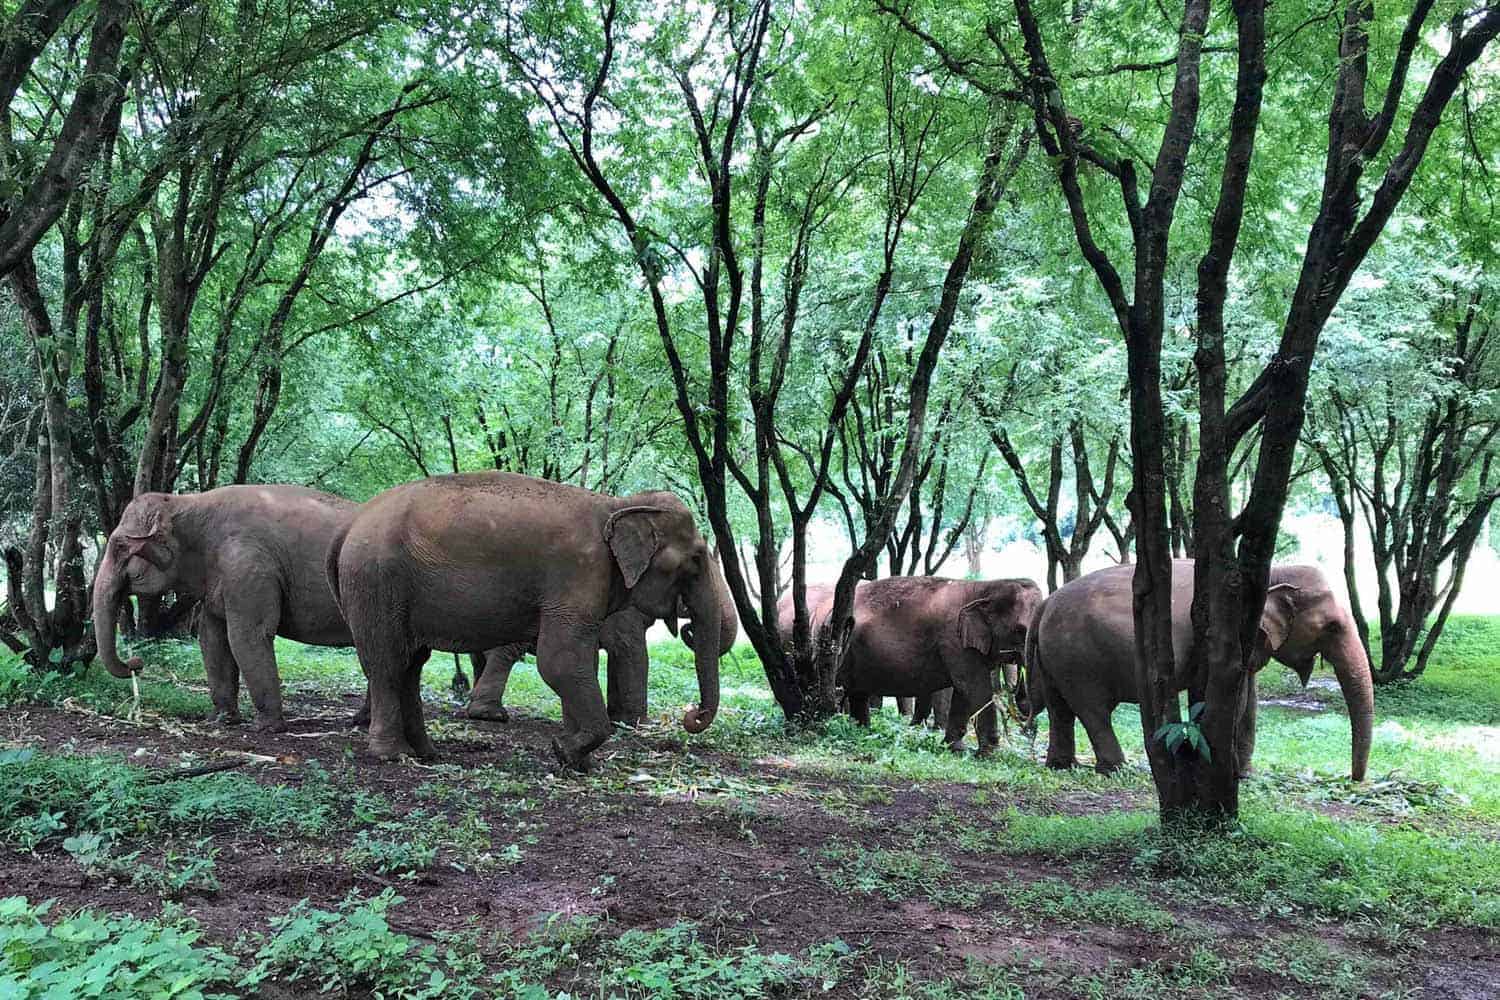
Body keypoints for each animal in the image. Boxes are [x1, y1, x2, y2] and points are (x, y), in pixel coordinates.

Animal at [93, 486, 359, 731]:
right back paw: (359, 720)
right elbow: (212, 639)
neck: (186, 503)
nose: (135, 663)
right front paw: (220, 720)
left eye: (119, 546)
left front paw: (266, 727)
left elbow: (247, 636)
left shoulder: (248, 567)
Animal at [461, 576, 739, 725]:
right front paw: (638, 723)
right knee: (505, 652)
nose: (687, 628)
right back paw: (489, 713)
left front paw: (616, 718)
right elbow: (632, 651)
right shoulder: (626, 614)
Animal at [775, 576, 1042, 753]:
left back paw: (863, 732)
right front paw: (990, 754)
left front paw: (955, 749)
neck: (984, 585)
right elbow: (974, 688)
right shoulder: (953, 641)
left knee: (858, 693)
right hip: (832, 646)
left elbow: (964, 692)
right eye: (1020, 630)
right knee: (841, 689)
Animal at [1024, 560, 1375, 781]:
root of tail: (1044, 605)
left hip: (1055, 657)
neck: (1272, 570)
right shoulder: (1215, 637)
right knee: (1093, 711)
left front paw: (1244, 774)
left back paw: (1060, 766)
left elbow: (1248, 699)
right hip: (1079, 660)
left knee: (1060, 710)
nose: (1353, 779)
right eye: (1332, 627)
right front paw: (1227, 769)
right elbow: (1222, 696)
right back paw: (1116, 769)